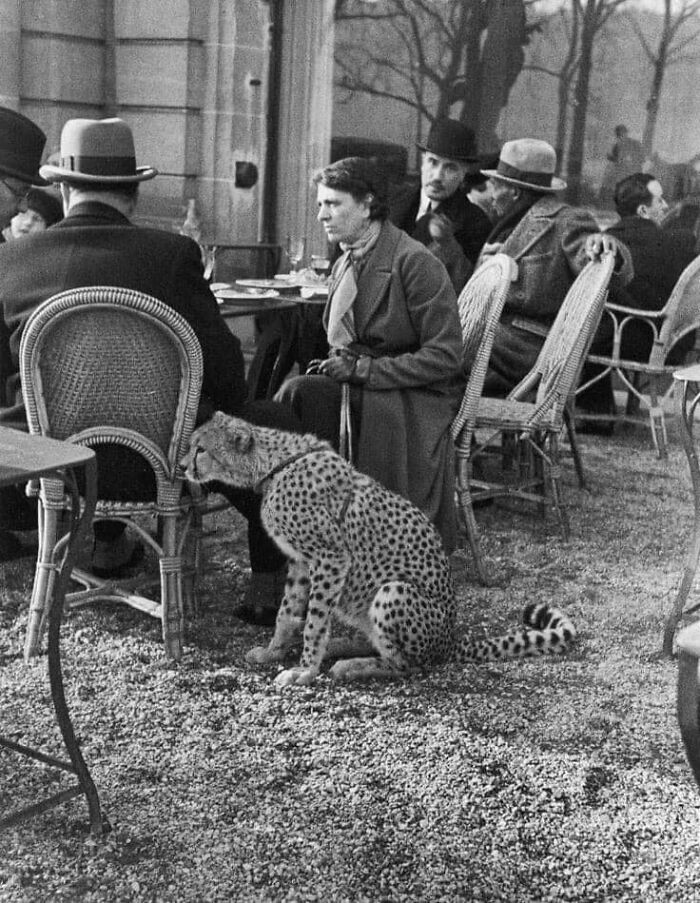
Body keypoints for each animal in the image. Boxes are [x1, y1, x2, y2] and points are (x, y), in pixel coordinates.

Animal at [181, 411, 577, 687]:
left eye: (201, 449)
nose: (183, 466)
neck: (274, 465)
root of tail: (451, 640)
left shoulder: (330, 557)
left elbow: (314, 620)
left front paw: (305, 670)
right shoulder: (299, 561)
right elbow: (288, 613)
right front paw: (273, 651)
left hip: (392, 591)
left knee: (407, 665)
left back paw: (350, 665)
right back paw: (341, 646)